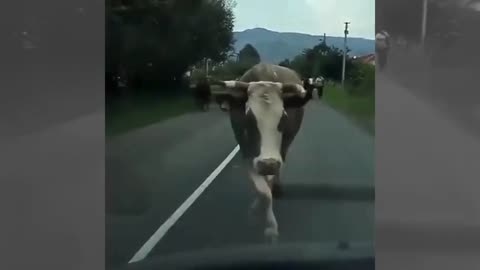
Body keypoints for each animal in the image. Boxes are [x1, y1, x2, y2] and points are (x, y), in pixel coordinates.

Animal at [210, 62, 312, 243]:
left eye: (283, 117)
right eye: (249, 119)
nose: (268, 165)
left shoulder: (276, 157)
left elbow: (267, 188)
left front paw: (269, 225)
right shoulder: (246, 151)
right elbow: (262, 191)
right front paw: (255, 213)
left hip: (285, 147)